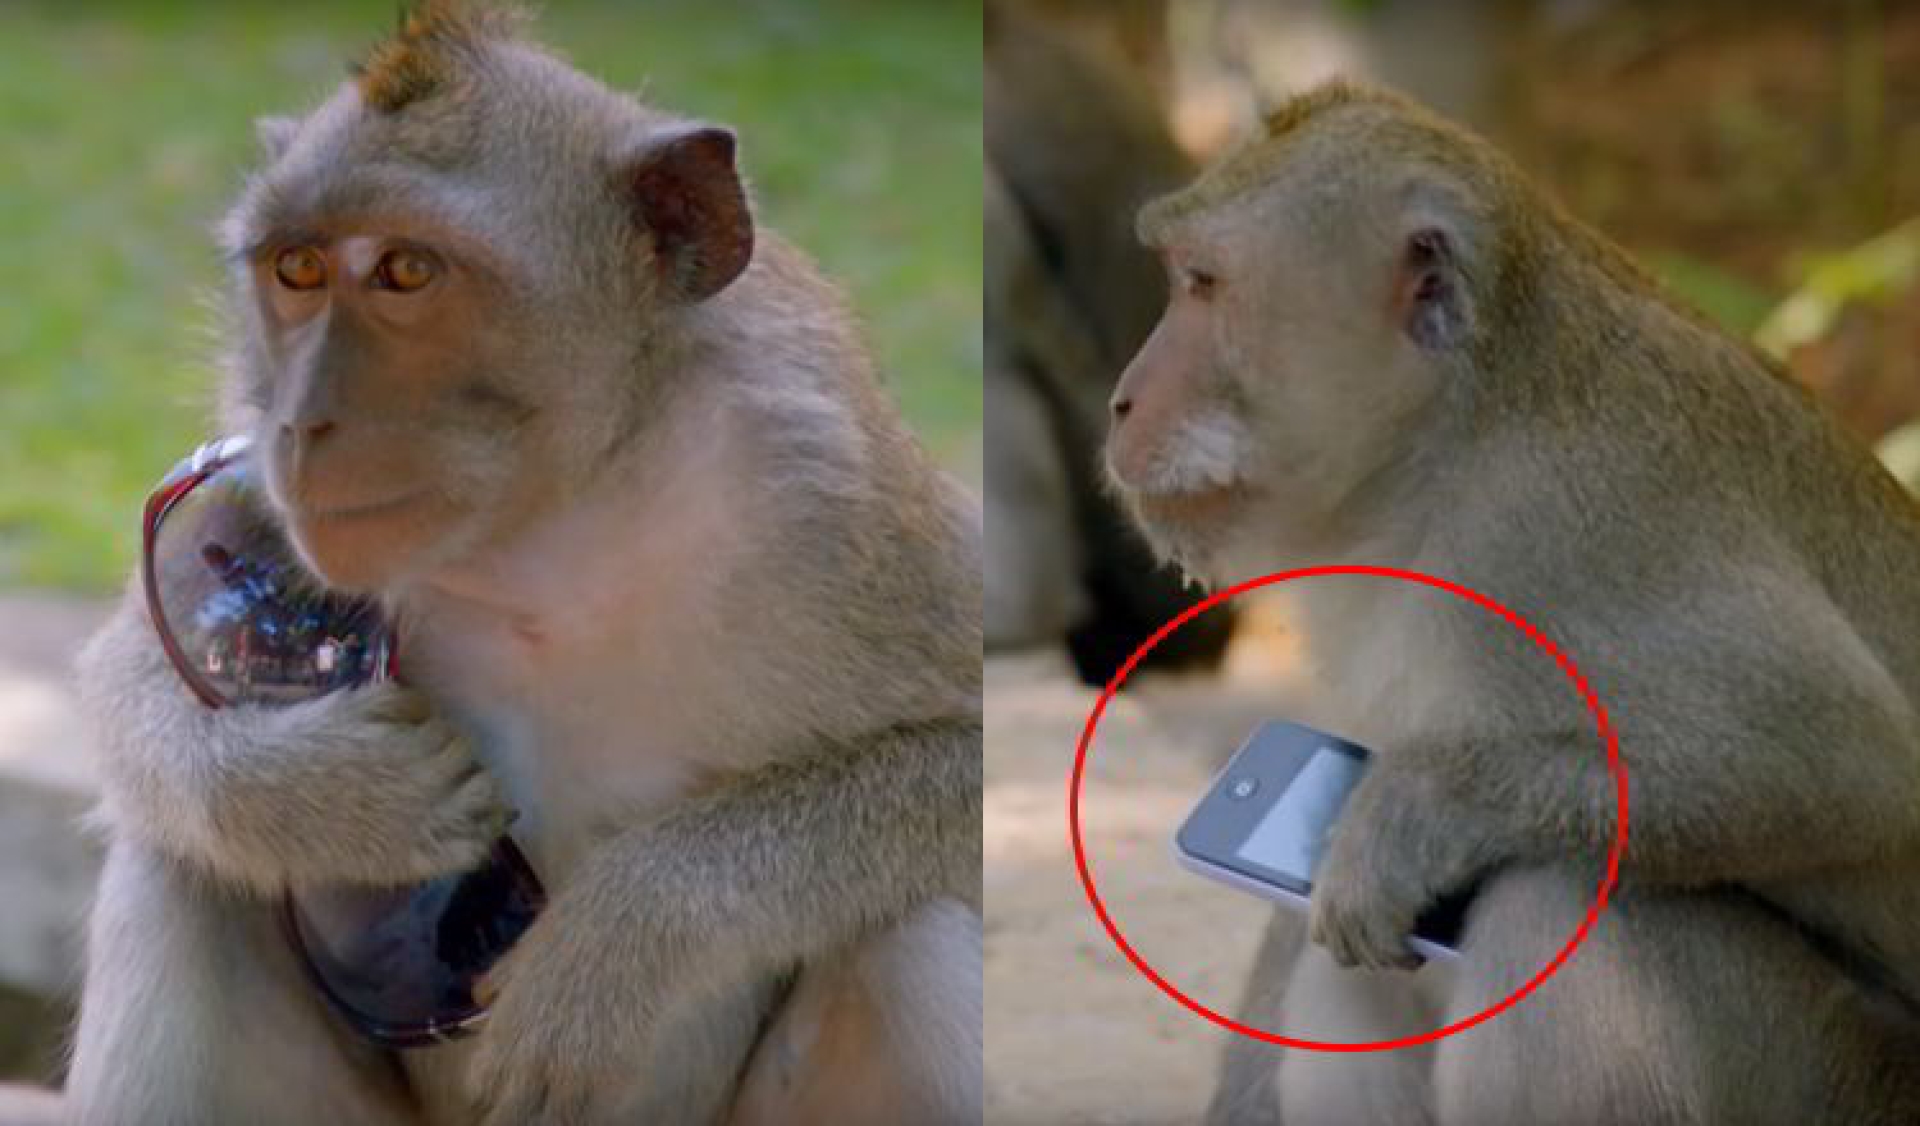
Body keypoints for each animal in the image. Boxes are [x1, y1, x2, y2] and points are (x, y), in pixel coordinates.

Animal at [64, 4, 981, 1124]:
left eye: (407, 271)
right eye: (298, 270)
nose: (302, 423)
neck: (553, 515)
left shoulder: (831, 493)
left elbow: (961, 751)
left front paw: (620, 937)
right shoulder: (235, 478)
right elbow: (131, 668)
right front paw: (328, 795)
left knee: (912, 933)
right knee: (182, 874)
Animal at [1105, 81, 1920, 1126]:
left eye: (1203, 284)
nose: (1124, 402)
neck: (1444, 450)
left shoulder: (1575, 522)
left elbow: (1854, 764)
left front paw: (1412, 818)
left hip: (1842, 1079)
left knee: (1558, 905)